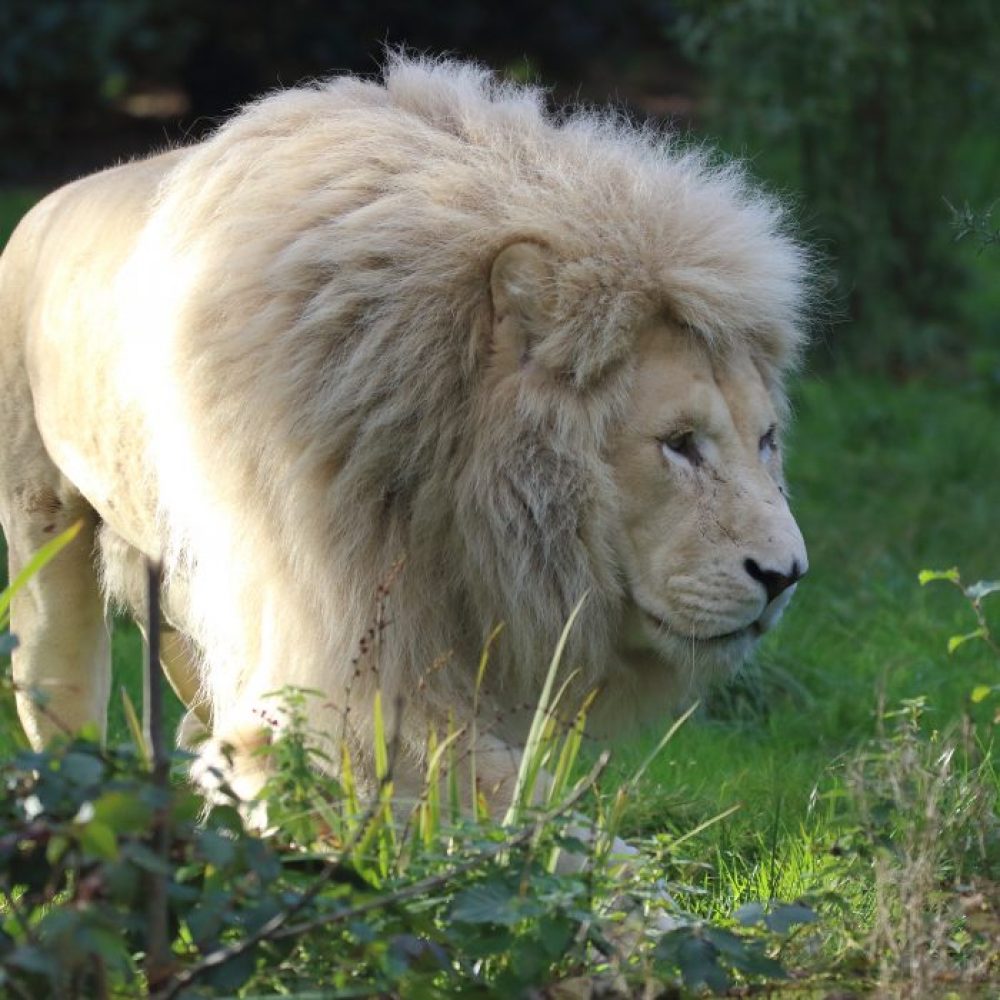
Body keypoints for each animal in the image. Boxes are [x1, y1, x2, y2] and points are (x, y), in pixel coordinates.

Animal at [0, 55, 809, 809]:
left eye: (766, 441)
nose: (786, 577)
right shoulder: (337, 628)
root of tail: (49, 201)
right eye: (679, 443)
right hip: (48, 546)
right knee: (61, 699)